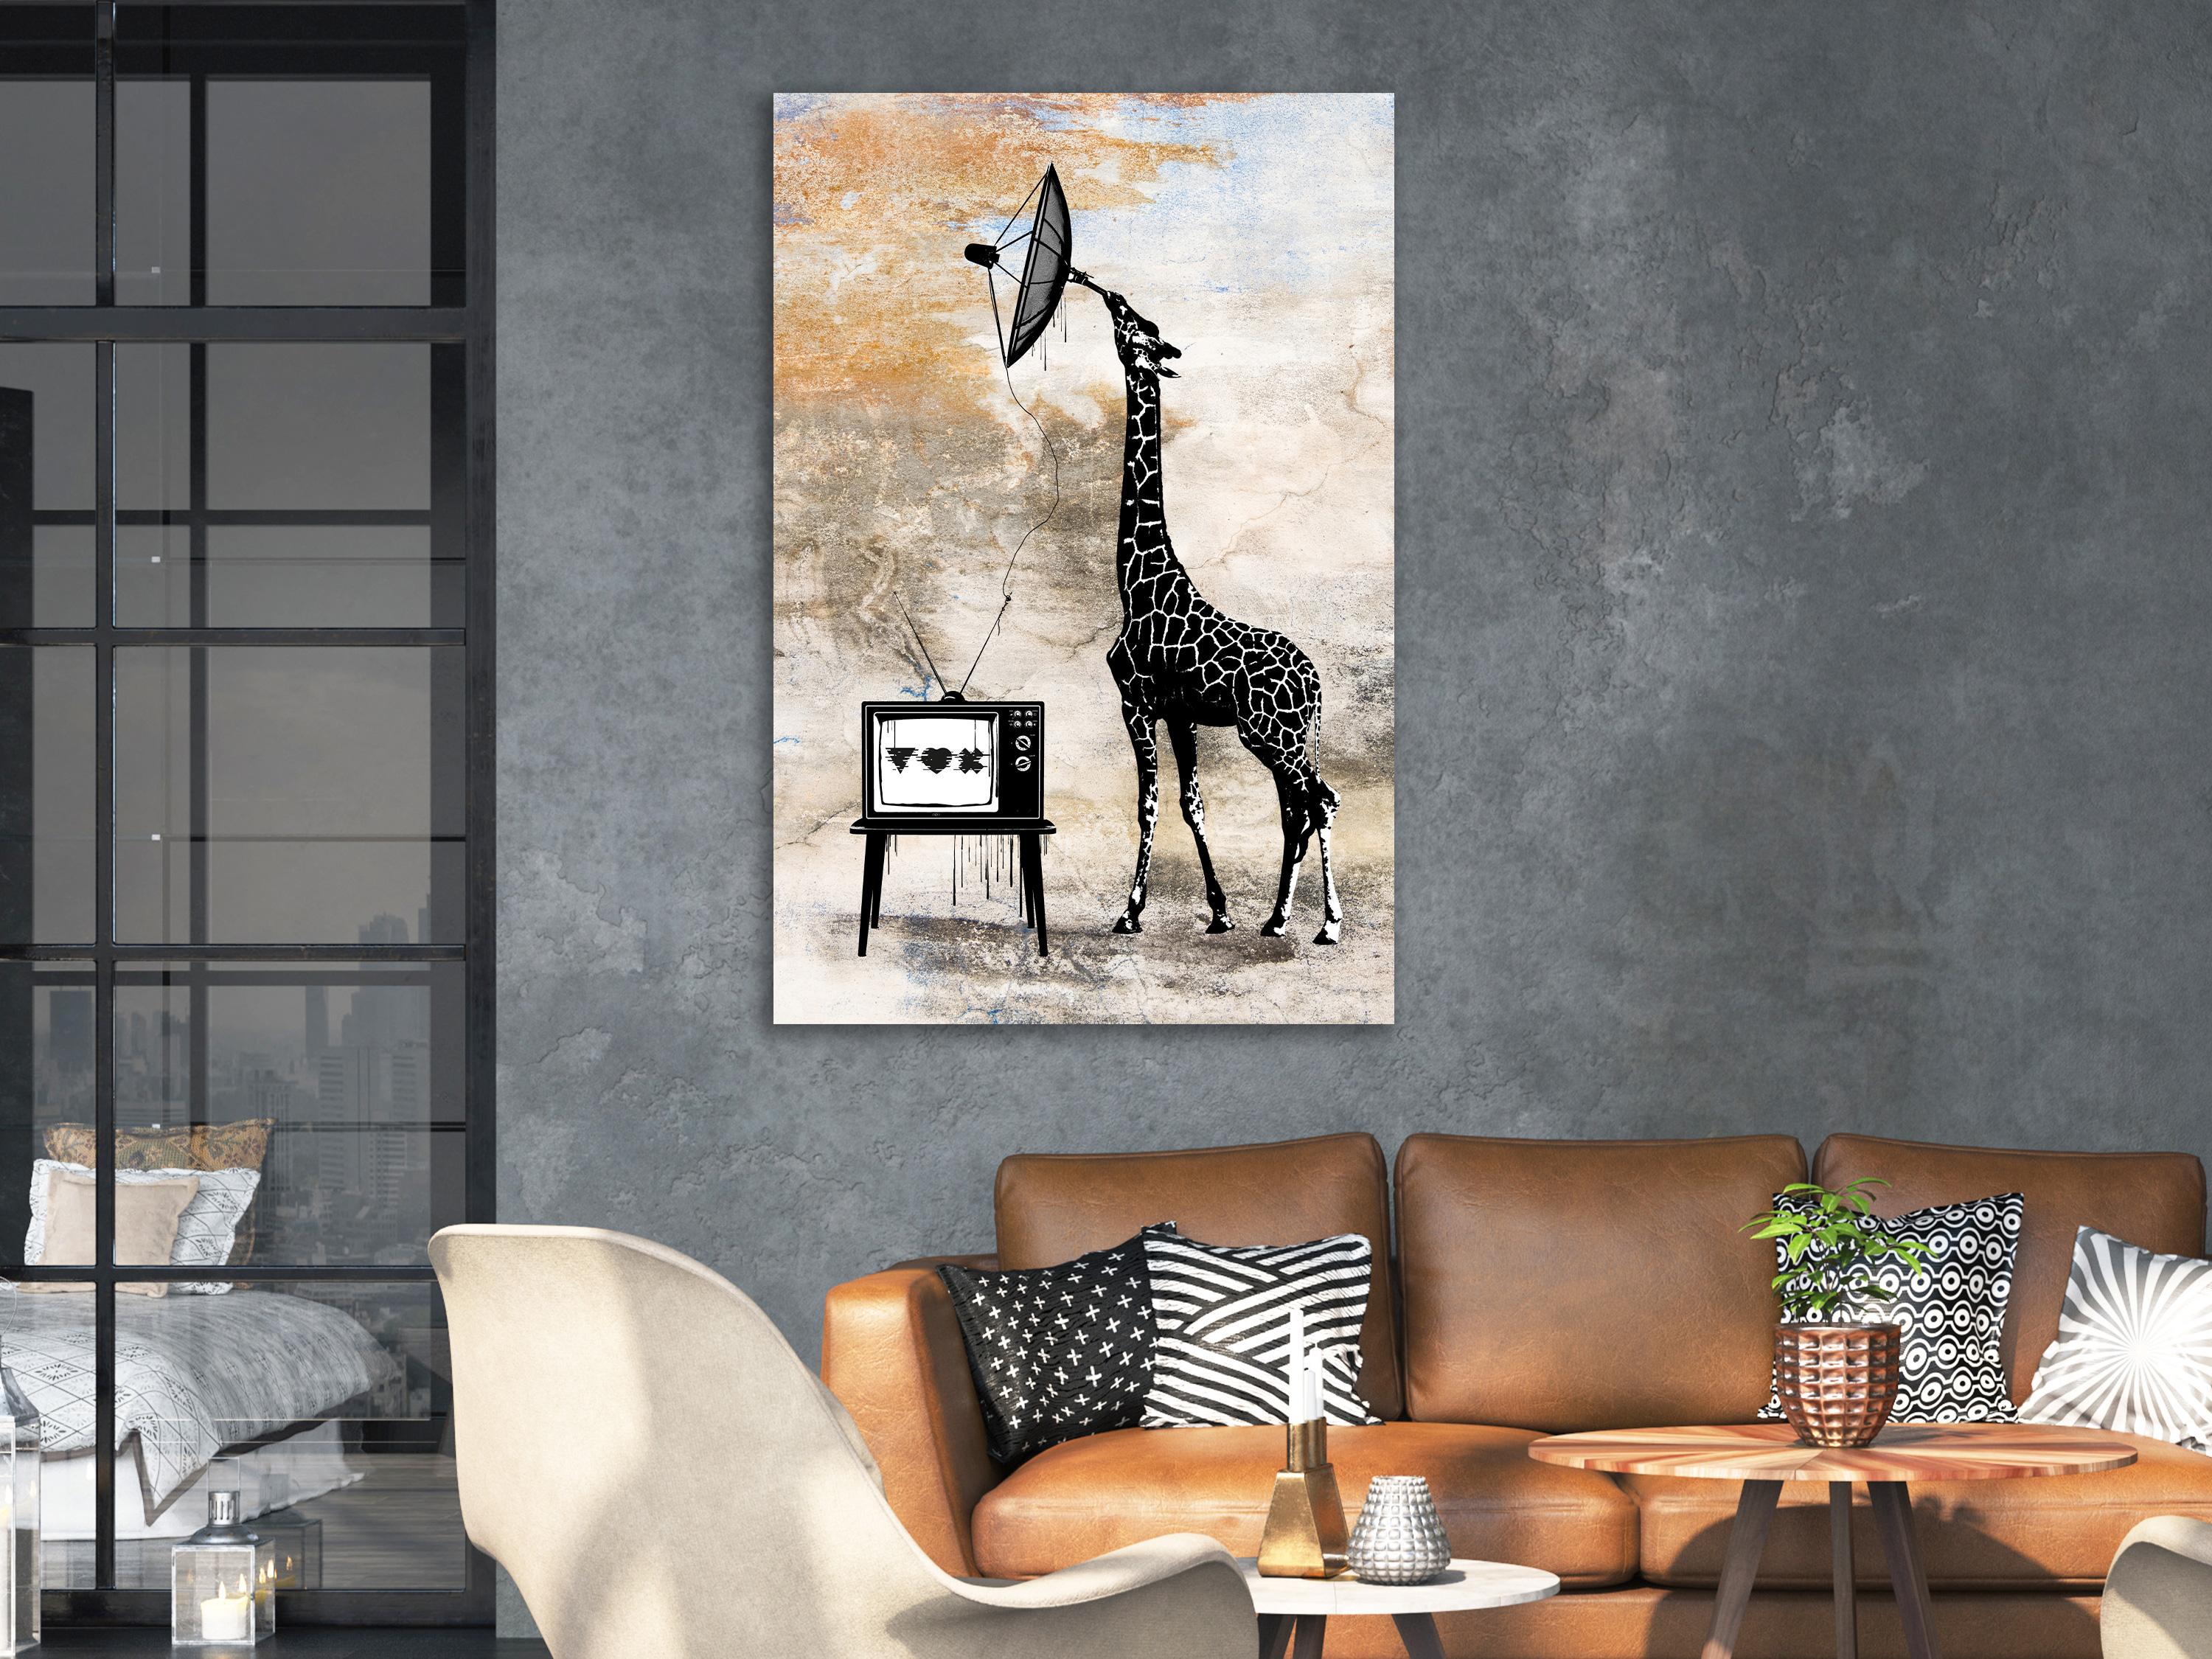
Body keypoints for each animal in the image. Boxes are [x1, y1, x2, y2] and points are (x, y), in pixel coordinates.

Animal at [1069, 272, 1343, 946]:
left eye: (1131, 322)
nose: (1099, 287)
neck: (1136, 581)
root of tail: (1317, 683)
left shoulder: (1136, 702)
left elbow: (1149, 804)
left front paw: (1129, 913)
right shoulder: (1181, 714)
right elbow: (1192, 802)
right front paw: (1220, 911)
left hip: (1273, 735)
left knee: (1319, 801)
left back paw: (1328, 925)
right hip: (1285, 738)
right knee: (1298, 810)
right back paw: (1276, 919)